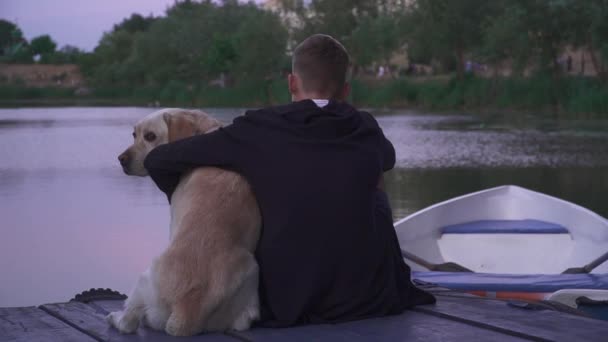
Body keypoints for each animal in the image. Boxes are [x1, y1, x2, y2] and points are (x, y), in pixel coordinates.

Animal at [107, 109, 262, 336]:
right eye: (134, 134)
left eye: (150, 136)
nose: (121, 159)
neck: (206, 129)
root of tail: (187, 308)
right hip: (251, 273)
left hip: (145, 279)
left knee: (130, 320)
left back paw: (116, 318)